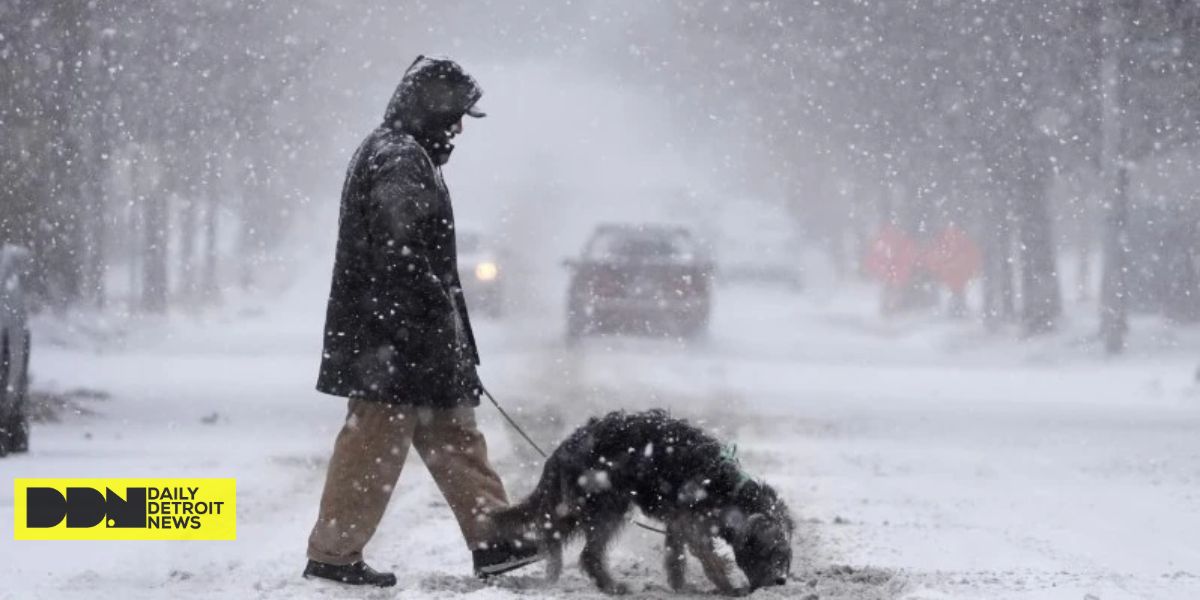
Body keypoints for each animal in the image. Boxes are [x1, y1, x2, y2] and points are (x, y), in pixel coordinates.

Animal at [492, 410, 792, 592]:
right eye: (770, 551)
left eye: (786, 554)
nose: (780, 581)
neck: (727, 489)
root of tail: (562, 449)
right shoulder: (693, 522)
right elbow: (708, 556)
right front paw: (728, 587)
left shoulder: (678, 521)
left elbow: (675, 555)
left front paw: (681, 587)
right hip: (605, 505)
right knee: (587, 552)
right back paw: (610, 586)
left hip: (581, 504)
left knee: (554, 532)